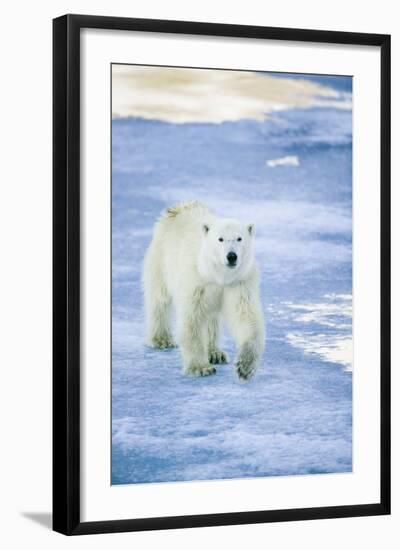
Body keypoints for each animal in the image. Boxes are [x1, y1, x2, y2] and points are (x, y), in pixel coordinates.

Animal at [142, 203, 264, 384]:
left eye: (239, 238)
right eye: (220, 239)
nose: (231, 256)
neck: (218, 275)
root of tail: (180, 207)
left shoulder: (239, 282)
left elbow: (246, 317)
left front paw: (244, 367)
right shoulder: (197, 281)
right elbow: (193, 319)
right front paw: (200, 368)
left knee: (212, 319)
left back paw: (215, 353)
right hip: (161, 259)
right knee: (159, 300)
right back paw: (161, 339)